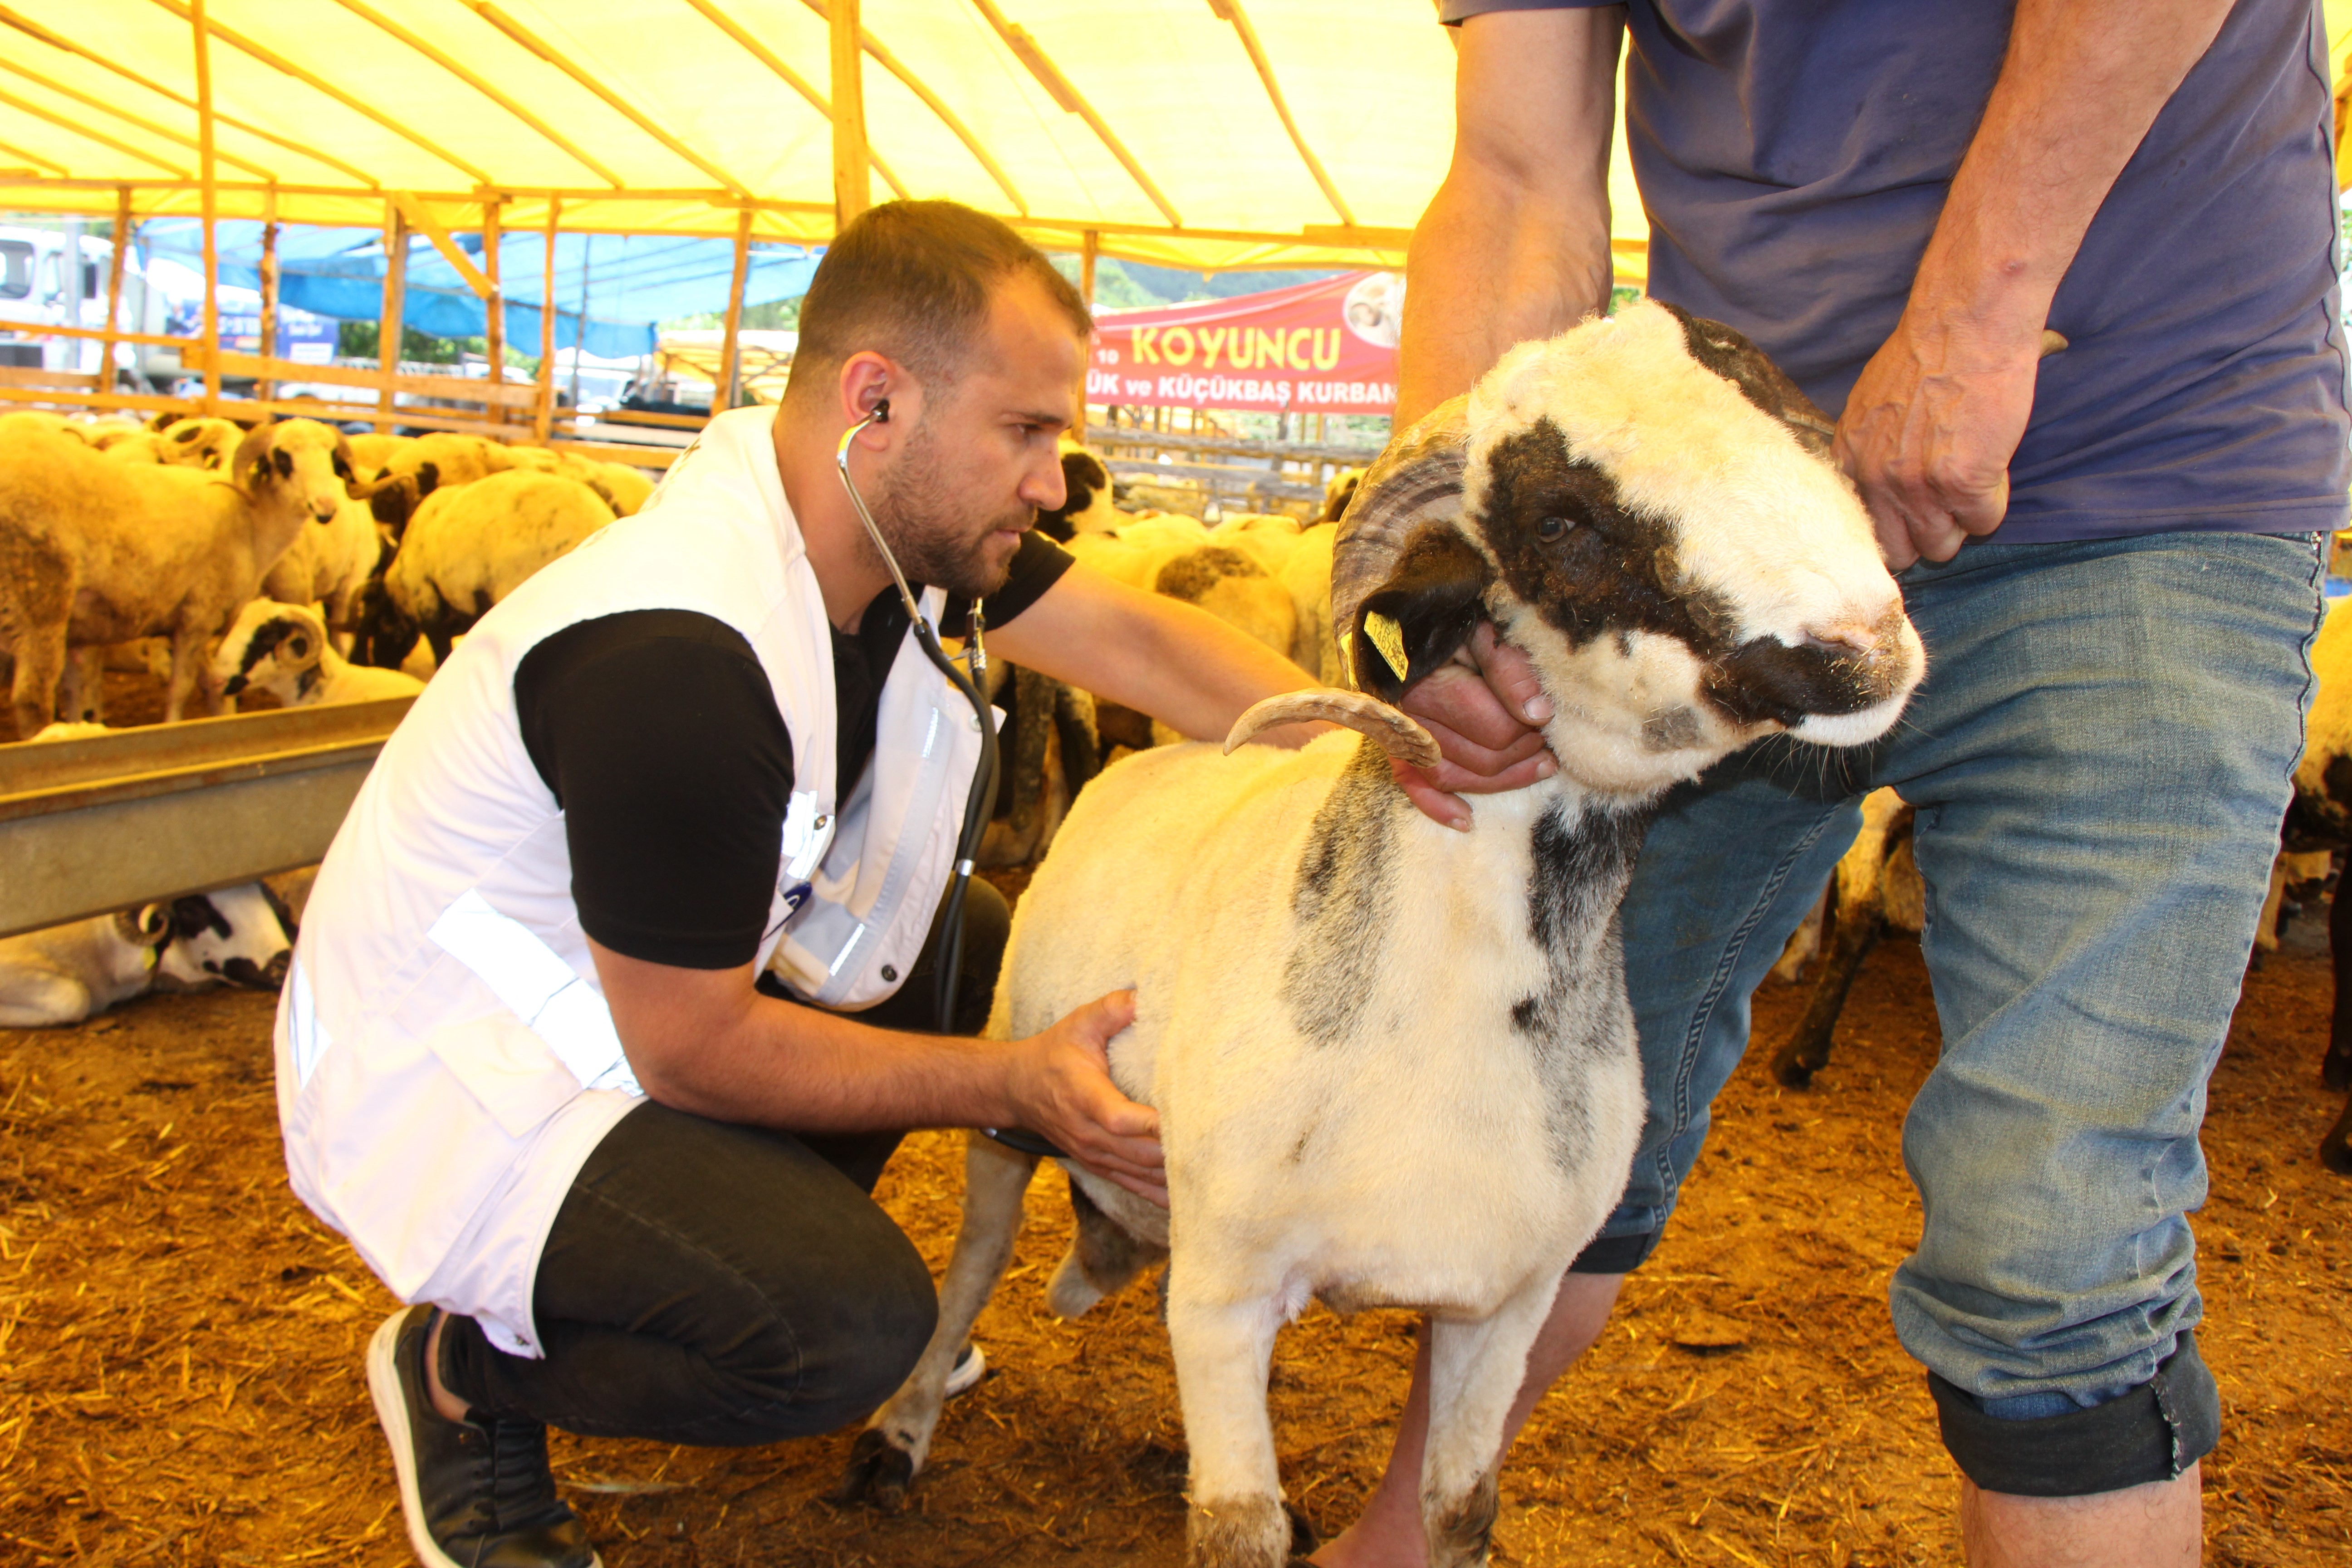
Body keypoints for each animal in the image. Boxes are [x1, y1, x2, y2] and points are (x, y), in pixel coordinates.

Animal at [1, 416, 376, 738]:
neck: (247, 516)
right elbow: (184, 689)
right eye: (283, 458)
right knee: (31, 699)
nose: (326, 508)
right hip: (41, 601)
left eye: (332, 458)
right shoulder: (199, 617)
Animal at [847, 297, 1928, 1568]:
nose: (1862, 645)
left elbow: (1457, 1511)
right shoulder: (1224, 1289)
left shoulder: (1502, 1308)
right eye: (1561, 520)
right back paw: (897, 1434)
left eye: (1792, 422)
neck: (1445, 1003)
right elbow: (1237, 1531)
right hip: (1011, 1102)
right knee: (972, 1261)